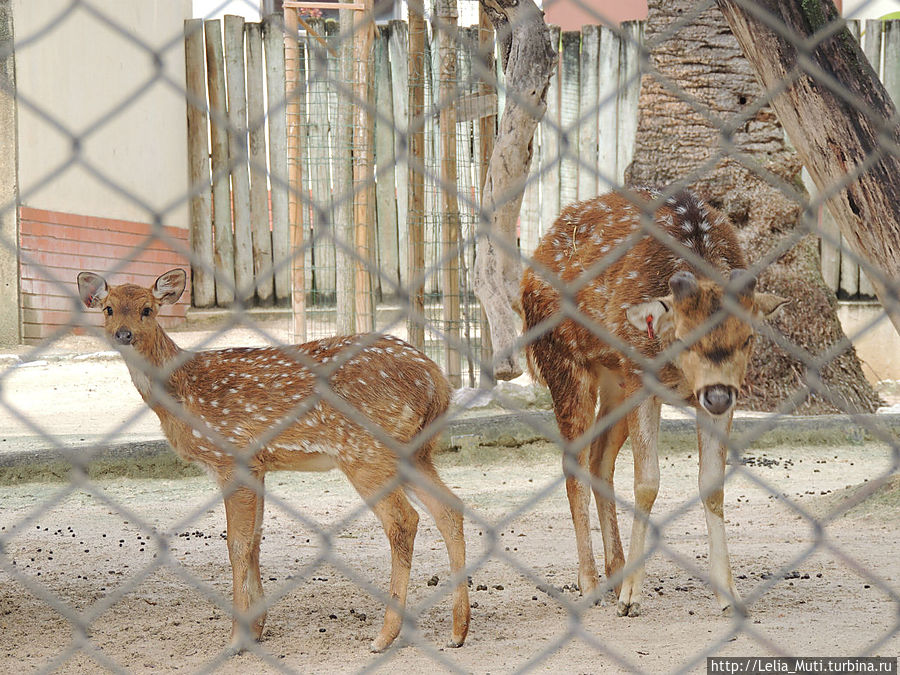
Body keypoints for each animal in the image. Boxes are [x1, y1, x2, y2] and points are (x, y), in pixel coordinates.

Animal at [76, 270, 468, 656]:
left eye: (147, 309)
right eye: (109, 309)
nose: (123, 334)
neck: (182, 392)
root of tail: (438, 382)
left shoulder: (231, 457)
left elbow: (236, 545)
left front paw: (236, 639)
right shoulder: (257, 465)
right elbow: (254, 541)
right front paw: (257, 628)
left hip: (365, 451)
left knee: (404, 520)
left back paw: (385, 635)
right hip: (414, 452)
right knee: (450, 508)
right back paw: (458, 630)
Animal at [520, 189, 788, 616]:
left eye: (748, 337)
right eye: (683, 335)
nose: (717, 394)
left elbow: (712, 485)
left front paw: (728, 593)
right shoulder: (641, 378)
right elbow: (647, 482)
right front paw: (632, 597)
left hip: (615, 380)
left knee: (599, 460)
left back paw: (613, 573)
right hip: (565, 363)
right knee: (573, 464)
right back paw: (591, 583)